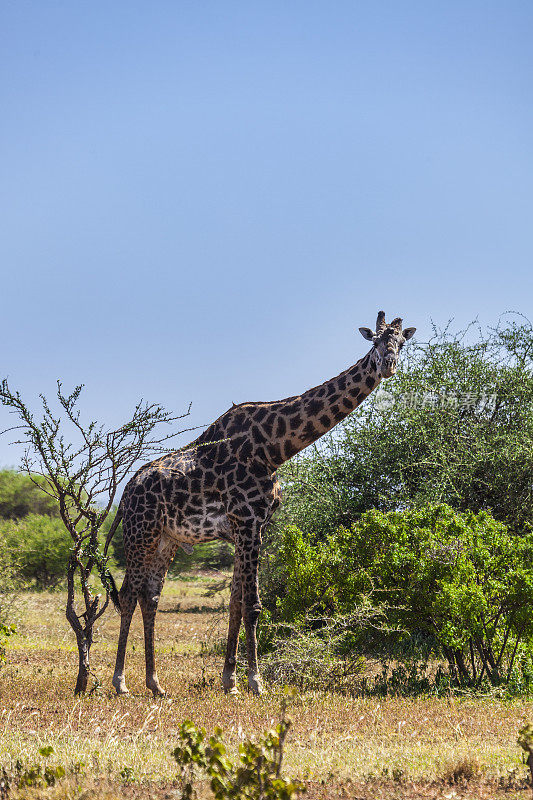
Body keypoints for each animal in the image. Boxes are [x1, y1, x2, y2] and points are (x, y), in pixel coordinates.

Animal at [106, 310, 416, 696]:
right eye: (374, 340)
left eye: (401, 342)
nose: (388, 364)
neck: (273, 448)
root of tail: (126, 492)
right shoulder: (248, 520)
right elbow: (253, 605)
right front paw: (256, 682)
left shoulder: (252, 526)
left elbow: (236, 602)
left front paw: (230, 680)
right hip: (141, 532)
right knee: (128, 594)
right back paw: (120, 682)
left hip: (166, 540)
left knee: (150, 596)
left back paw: (155, 683)